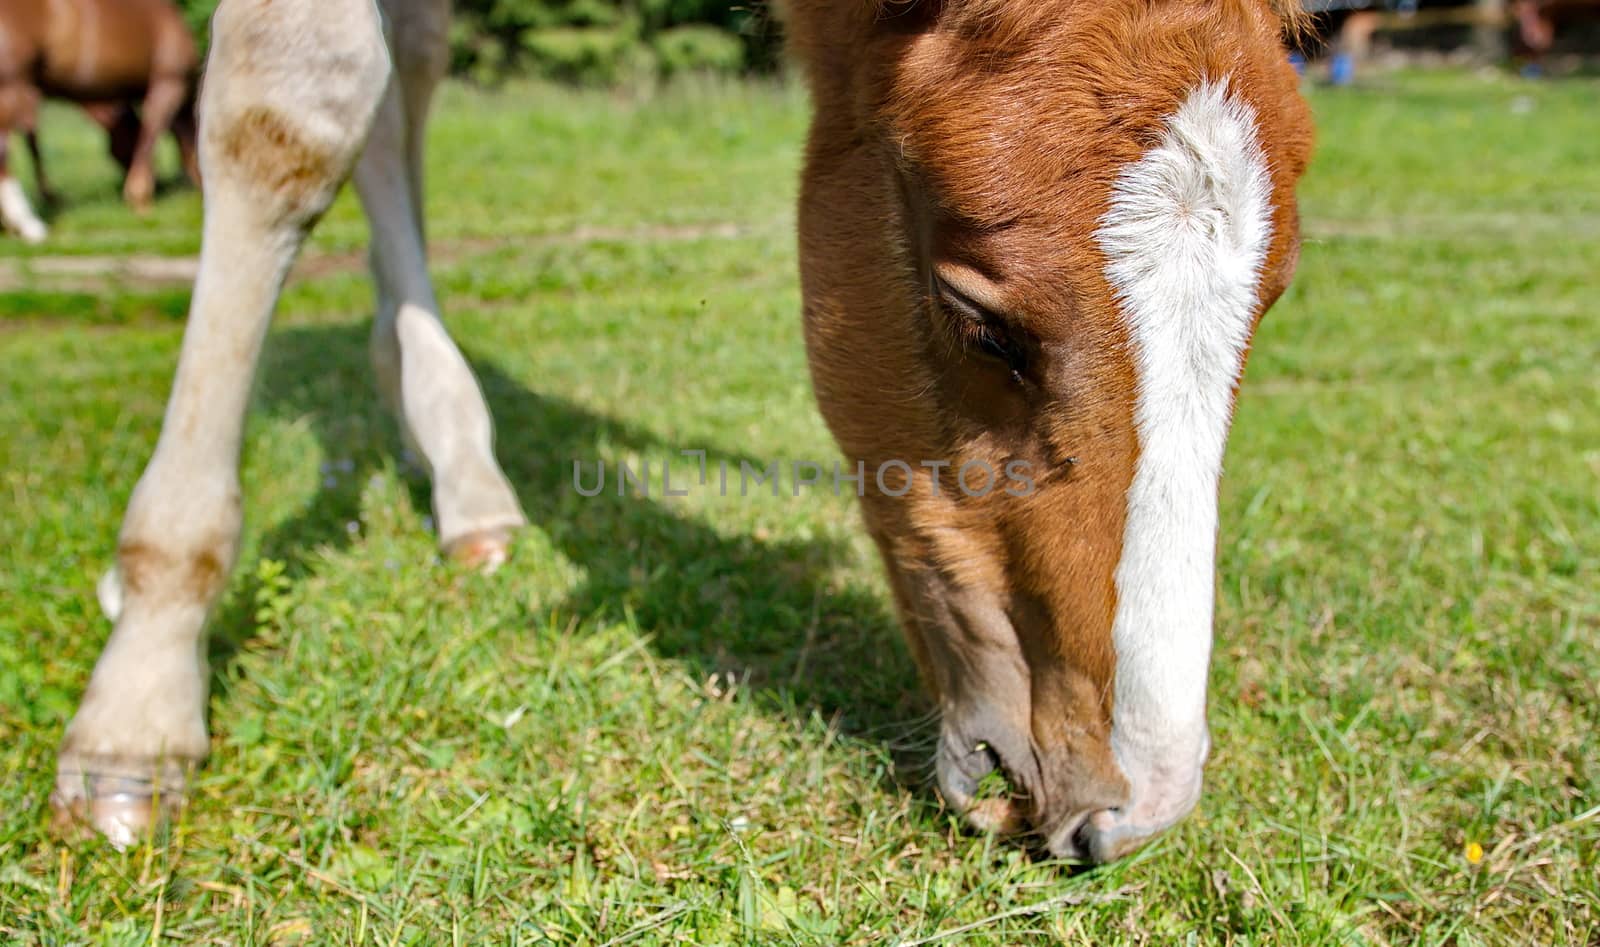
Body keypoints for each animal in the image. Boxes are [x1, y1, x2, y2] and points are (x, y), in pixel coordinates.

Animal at [0, 0, 200, 239]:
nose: (161, 183)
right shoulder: (169, 81)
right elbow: (150, 135)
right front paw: (141, 199)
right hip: (10, 85)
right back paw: (28, 224)